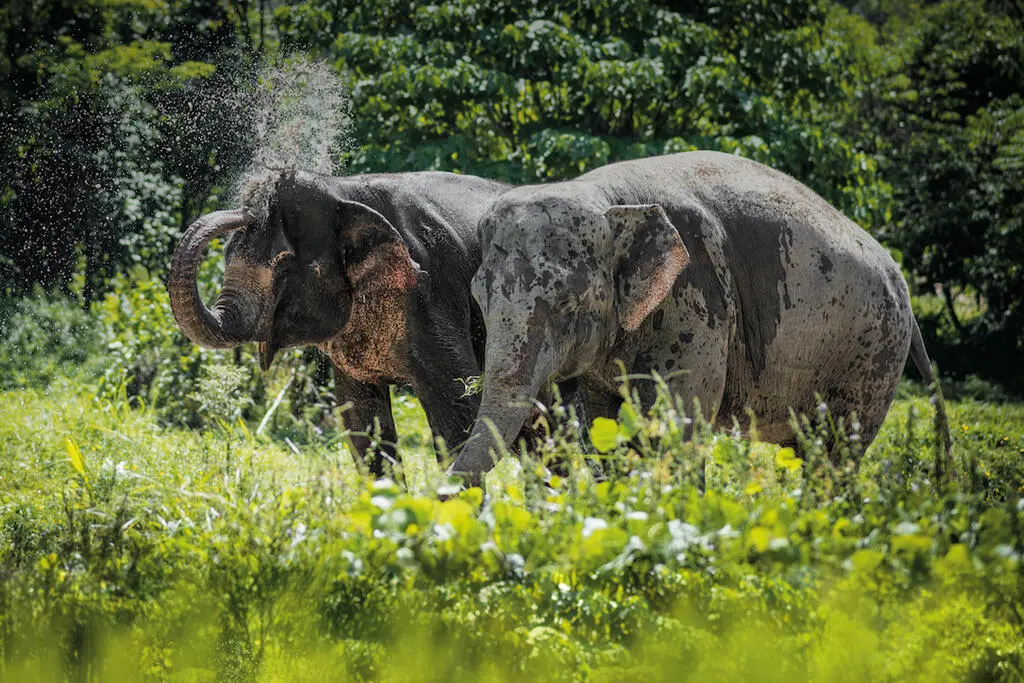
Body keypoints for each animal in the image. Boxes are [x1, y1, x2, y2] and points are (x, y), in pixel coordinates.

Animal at [171, 167, 516, 473]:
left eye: (284, 268)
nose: (248, 210)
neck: (342, 190)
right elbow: (361, 422)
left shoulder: (433, 293)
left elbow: (460, 408)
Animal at [448, 150, 950, 481]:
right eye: (479, 300)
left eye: (569, 305)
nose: (446, 492)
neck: (607, 198)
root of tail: (898, 276)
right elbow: (604, 423)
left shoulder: (698, 301)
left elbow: (677, 424)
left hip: (872, 351)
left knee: (837, 450)